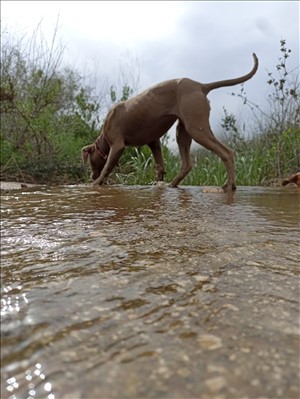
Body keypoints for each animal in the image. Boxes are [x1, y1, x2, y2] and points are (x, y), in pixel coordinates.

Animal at [82, 54, 258, 191]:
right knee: (187, 164)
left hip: (197, 128)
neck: (103, 139)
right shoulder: (154, 142)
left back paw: (229, 186)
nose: (91, 176)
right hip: (183, 131)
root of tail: (200, 86)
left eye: (90, 161)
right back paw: (171, 185)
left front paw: (96, 184)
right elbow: (160, 165)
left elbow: (106, 167)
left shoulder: (117, 145)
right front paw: (157, 182)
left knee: (227, 153)